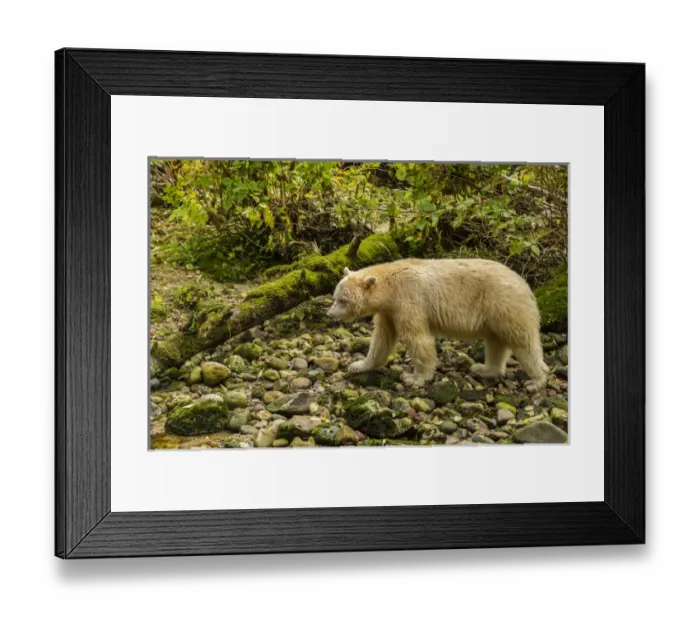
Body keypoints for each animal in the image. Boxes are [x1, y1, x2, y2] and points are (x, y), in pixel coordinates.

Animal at [326, 258, 549, 388]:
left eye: (343, 300)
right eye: (335, 296)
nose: (330, 314)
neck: (390, 287)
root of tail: (525, 284)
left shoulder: (408, 301)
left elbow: (417, 338)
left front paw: (415, 378)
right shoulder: (389, 311)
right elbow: (382, 339)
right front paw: (359, 365)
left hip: (504, 305)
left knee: (523, 341)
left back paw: (537, 379)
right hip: (494, 316)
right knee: (495, 342)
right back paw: (485, 369)